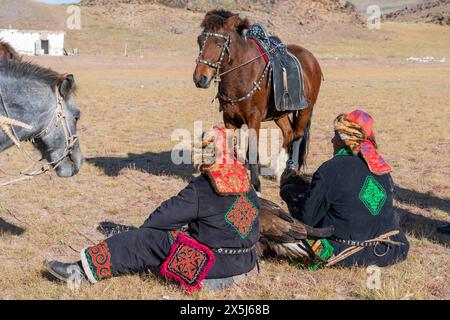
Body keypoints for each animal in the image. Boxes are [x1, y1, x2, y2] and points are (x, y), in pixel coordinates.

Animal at [193, 10, 324, 192]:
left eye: (219, 44)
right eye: (200, 41)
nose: (200, 78)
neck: (242, 74)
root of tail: (312, 60)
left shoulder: (254, 118)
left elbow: (253, 150)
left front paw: (255, 185)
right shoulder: (229, 119)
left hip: (306, 109)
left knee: (297, 135)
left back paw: (288, 169)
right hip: (279, 113)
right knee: (288, 133)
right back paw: (278, 170)